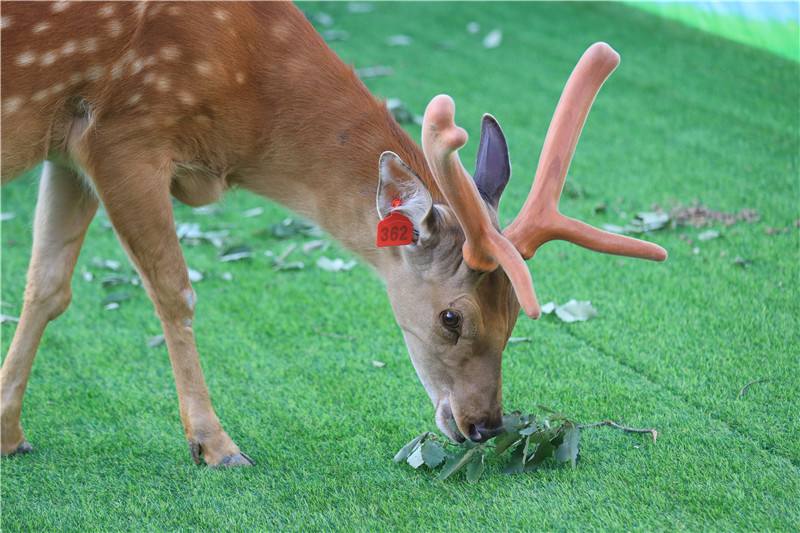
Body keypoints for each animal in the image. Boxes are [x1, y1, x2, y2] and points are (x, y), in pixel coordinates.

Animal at [0, 1, 664, 466]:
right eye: (452, 317)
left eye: (513, 318)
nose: (486, 425)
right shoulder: (123, 134)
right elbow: (174, 290)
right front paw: (216, 446)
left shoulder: (69, 149)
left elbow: (47, 285)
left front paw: (9, 433)